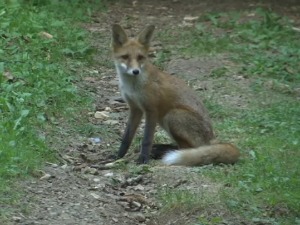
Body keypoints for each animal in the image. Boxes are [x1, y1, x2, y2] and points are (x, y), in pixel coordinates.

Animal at [111, 24, 240, 165]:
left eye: (140, 57)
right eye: (125, 57)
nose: (135, 71)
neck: (133, 87)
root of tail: (211, 139)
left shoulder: (151, 110)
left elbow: (147, 140)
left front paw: (143, 159)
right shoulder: (135, 108)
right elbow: (126, 137)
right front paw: (118, 155)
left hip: (172, 116)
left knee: (187, 148)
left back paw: (164, 152)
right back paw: (161, 150)